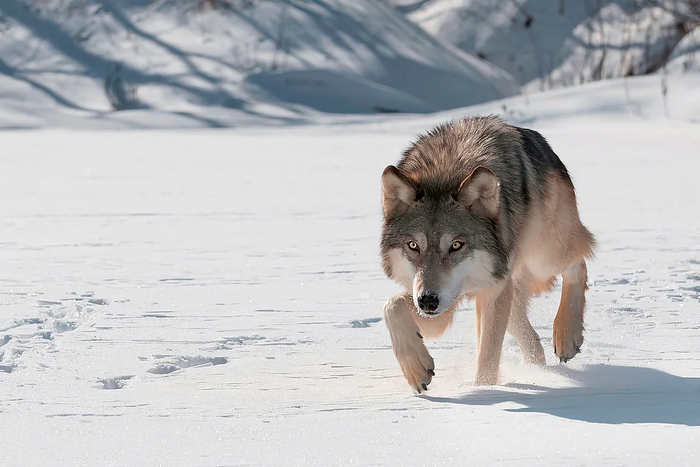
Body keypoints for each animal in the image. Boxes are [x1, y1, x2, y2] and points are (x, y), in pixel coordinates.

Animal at [380, 116, 592, 392]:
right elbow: (391, 307)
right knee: (529, 335)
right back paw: (537, 369)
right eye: (413, 246)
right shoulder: (443, 301)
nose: (427, 301)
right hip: (506, 286)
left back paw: (566, 337)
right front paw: (416, 369)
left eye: (456, 245)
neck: (446, 171)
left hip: (543, 258)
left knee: (579, 263)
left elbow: (488, 356)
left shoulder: (489, 289)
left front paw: (484, 391)